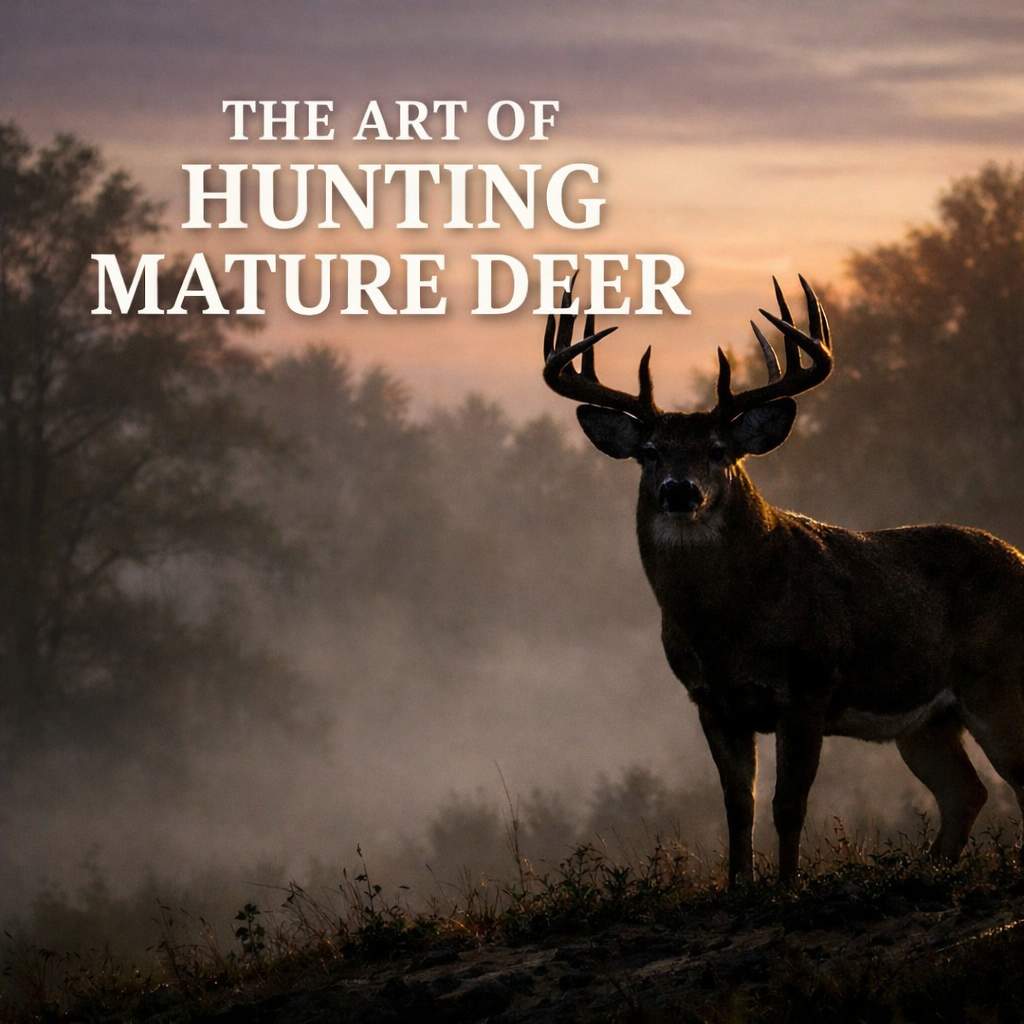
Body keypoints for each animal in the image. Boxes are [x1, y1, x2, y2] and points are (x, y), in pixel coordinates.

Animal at [543, 275, 1024, 886]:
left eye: (718, 450)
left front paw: (788, 886)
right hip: (926, 723)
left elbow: (788, 803)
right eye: (649, 453)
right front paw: (738, 887)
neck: (727, 629)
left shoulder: (808, 688)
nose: (680, 491)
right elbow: (738, 804)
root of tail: (1021, 557)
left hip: (997, 684)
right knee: (966, 793)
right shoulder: (712, 701)